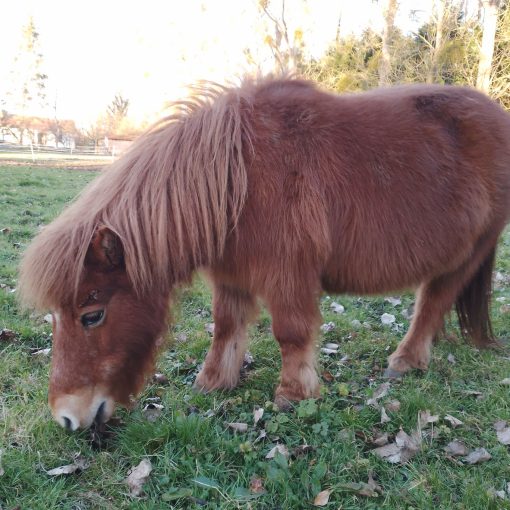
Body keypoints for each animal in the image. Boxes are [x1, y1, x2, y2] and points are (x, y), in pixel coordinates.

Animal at [17, 75, 510, 430]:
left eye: (92, 315)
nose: (66, 418)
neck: (239, 179)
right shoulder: (231, 277)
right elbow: (225, 329)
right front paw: (213, 383)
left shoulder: (288, 275)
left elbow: (290, 333)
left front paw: (293, 395)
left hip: (469, 253)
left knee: (433, 302)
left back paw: (405, 361)